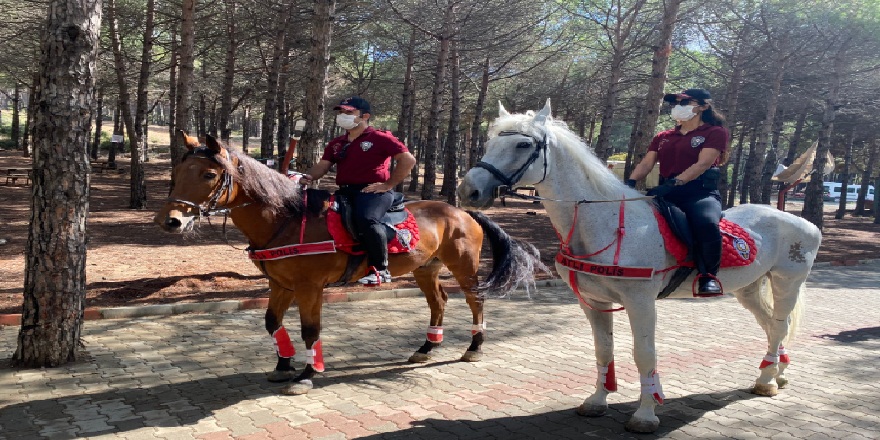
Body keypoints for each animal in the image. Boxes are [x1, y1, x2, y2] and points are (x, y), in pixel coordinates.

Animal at [155, 132, 548, 394]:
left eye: (208, 175)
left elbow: (310, 330)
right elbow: (272, 324)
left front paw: (307, 375)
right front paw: (283, 364)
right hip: (426, 269)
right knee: (439, 302)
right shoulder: (279, 284)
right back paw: (426, 347)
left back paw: (474, 348)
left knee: (474, 300)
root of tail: (462, 211)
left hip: (464, 268)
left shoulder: (309, 288)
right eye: (177, 172)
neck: (287, 219)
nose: (171, 221)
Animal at [458, 100, 820, 434]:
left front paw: (646, 414)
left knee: (779, 326)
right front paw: (597, 401)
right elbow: (603, 350)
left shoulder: (640, 301)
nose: (467, 190)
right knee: (773, 327)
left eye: (523, 144)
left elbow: (644, 354)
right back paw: (776, 373)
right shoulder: (594, 302)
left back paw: (767, 382)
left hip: (787, 282)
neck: (607, 223)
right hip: (749, 289)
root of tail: (801, 221)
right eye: (489, 142)